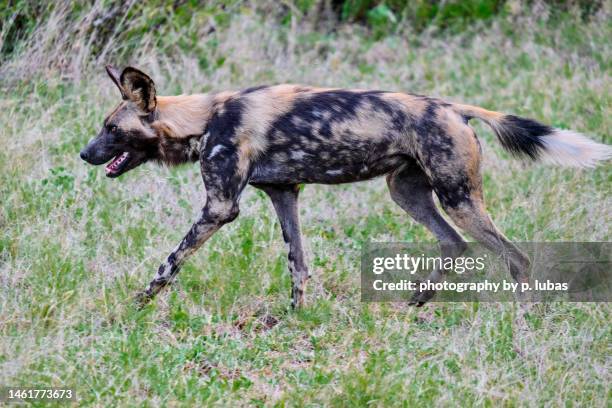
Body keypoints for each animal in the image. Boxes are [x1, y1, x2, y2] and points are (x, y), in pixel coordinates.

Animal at [80, 65, 612, 308]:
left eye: (112, 128)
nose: (84, 154)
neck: (207, 117)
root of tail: (453, 108)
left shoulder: (219, 208)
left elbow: (169, 263)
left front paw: (137, 306)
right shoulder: (284, 194)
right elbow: (298, 265)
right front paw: (292, 319)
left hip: (459, 199)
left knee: (516, 257)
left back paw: (523, 319)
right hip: (408, 193)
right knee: (454, 244)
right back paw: (416, 304)